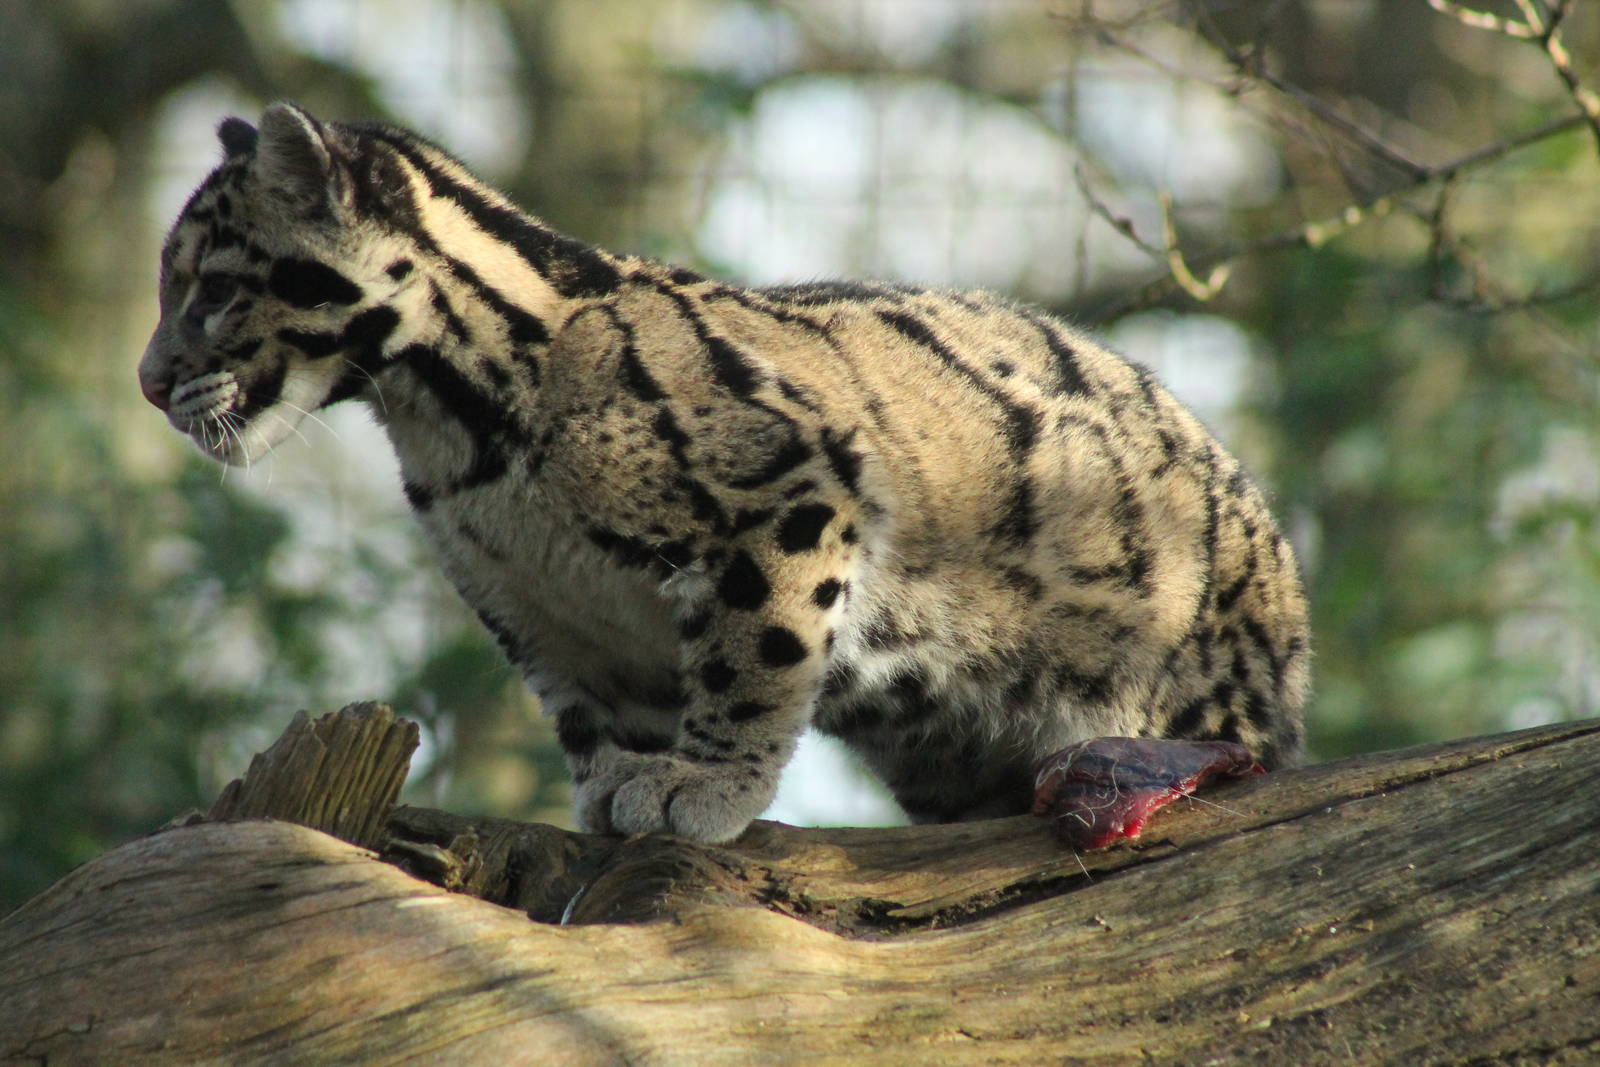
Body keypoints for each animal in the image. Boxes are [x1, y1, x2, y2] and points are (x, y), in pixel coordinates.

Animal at [138, 102, 1311, 844]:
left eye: (212, 288)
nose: (149, 382)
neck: (451, 434)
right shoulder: (542, 609)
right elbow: (593, 716)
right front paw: (618, 784)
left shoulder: (786, 501)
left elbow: (755, 658)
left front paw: (702, 785)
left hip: (1197, 698)